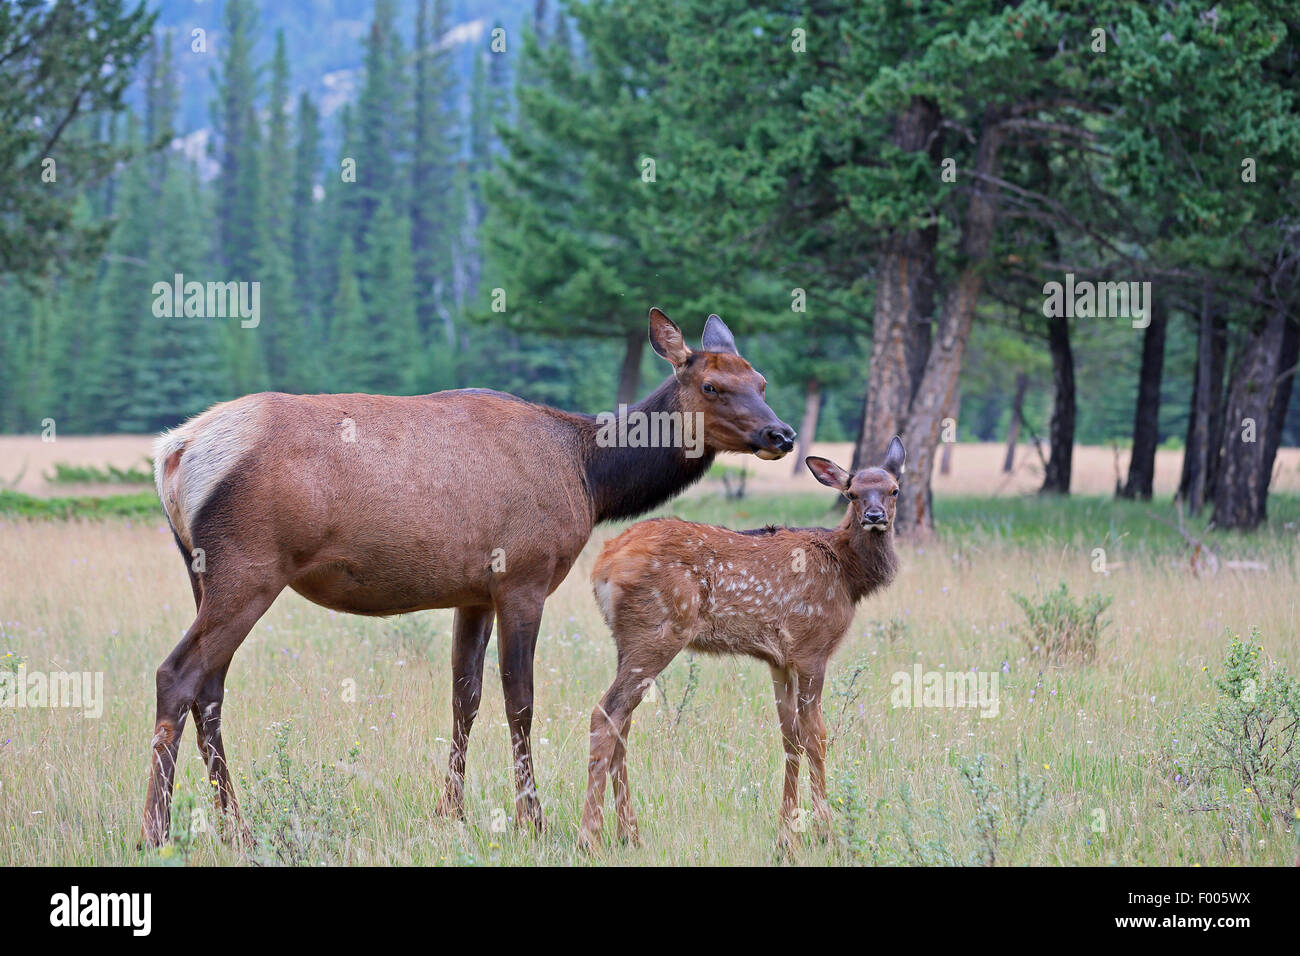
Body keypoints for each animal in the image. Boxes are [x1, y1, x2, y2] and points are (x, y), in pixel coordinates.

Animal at [142, 308, 790, 842]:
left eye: (760, 382)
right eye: (712, 385)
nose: (780, 434)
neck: (591, 476)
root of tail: (173, 453)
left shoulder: (473, 591)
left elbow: (465, 697)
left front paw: (449, 813)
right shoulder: (523, 577)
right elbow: (520, 700)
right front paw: (532, 819)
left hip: (206, 575)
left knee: (210, 690)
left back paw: (234, 826)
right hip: (249, 568)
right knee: (177, 674)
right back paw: (157, 828)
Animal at [579, 437, 904, 848]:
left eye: (894, 489)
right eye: (853, 493)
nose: (875, 516)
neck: (846, 575)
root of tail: (602, 567)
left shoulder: (780, 659)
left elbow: (790, 738)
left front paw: (786, 834)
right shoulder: (812, 647)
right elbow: (816, 736)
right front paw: (826, 832)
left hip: (628, 640)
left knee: (623, 719)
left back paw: (630, 834)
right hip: (657, 631)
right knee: (606, 713)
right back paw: (589, 837)